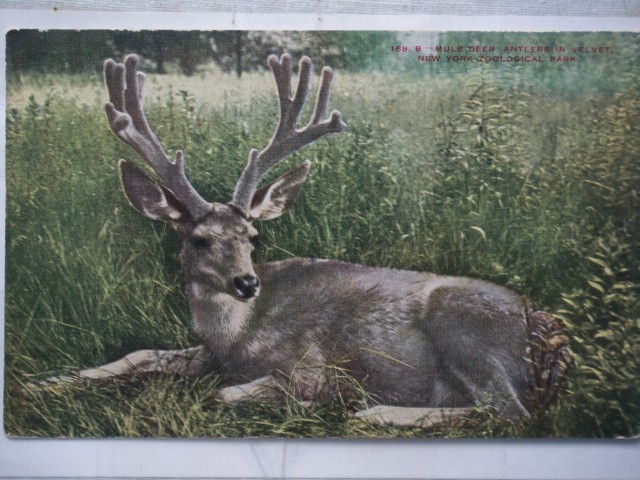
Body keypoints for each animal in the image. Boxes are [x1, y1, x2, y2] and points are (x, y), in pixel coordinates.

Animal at [29, 53, 570, 428]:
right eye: (200, 239)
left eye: (252, 235)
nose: (246, 283)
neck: (237, 335)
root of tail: (557, 344)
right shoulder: (204, 351)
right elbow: (138, 355)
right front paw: (42, 383)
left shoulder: (310, 365)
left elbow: (227, 392)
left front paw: (334, 400)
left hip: (466, 326)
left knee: (510, 411)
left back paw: (379, 414)